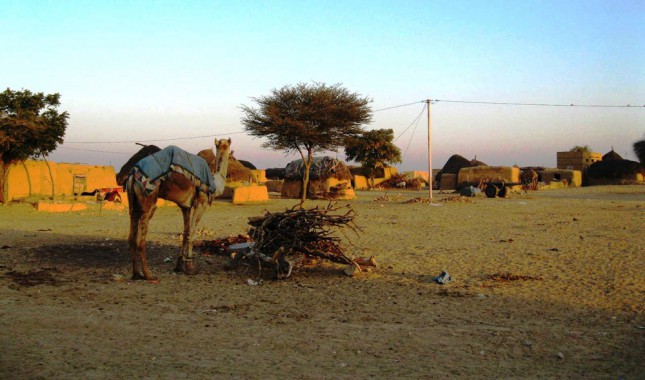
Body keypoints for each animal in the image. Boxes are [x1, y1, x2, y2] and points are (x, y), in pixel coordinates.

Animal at [123, 138, 231, 280]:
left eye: (226, 145)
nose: (225, 145)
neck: (215, 182)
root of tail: (132, 176)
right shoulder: (201, 203)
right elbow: (193, 234)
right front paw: (190, 267)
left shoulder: (185, 206)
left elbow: (186, 233)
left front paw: (179, 265)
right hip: (149, 200)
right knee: (140, 239)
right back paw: (148, 274)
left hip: (133, 203)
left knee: (131, 235)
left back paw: (136, 273)